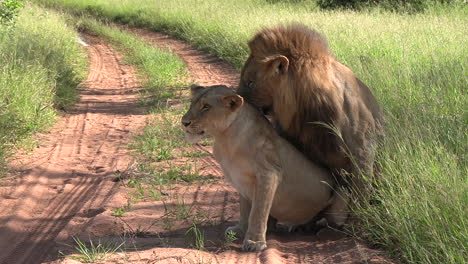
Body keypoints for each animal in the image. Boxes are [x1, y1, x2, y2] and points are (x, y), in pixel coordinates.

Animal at [182, 85, 348, 252]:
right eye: (192, 103)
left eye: (206, 107)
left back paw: (324, 233)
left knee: (337, 224)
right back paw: (297, 226)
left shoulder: (269, 173)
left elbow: (258, 211)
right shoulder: (242, 181)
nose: (184, 122)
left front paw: (254, 242)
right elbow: (245, 209)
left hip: (341, 192)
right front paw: (240, 230)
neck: (225, 139)